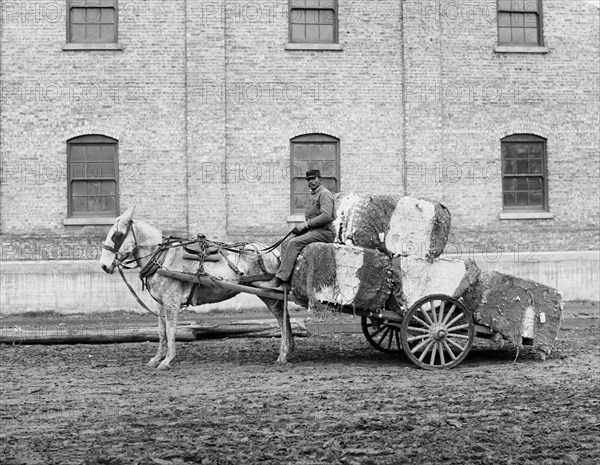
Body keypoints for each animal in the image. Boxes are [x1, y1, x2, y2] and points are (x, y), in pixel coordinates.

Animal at [99, 208, 296, 370]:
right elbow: (162, 331)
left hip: (268, 293)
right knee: (284, 316)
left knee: (281, 318)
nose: (103, 265)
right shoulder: (161, 304)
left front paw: (167, 360)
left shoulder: (171, 301)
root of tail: (273, 252)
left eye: (116, 235)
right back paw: (289, 350)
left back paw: (283, 353)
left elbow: (171, 329)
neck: (161, 257)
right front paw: (156, 359)